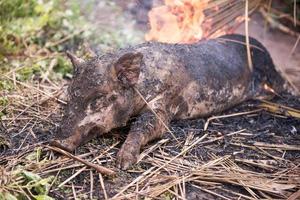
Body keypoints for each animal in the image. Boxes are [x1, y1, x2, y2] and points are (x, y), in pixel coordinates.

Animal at [51, 34, 288, 169]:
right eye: (72, 92)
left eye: (98, 98)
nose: (56, 141)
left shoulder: (165, 102)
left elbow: (145, 125)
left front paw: (123, 163)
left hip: (271, 74)